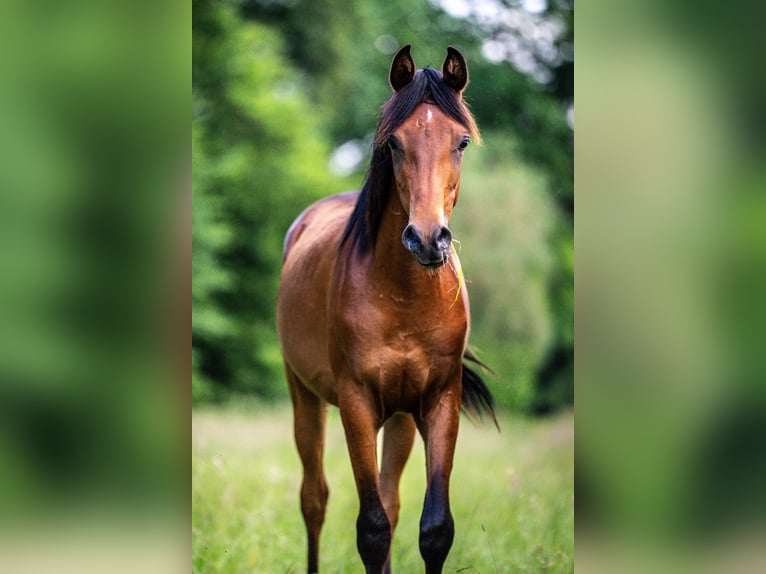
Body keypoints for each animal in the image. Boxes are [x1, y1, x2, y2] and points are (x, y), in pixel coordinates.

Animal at [276, 46, 498, 574]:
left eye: (461, 141)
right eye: (394, 143)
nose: (427, 238)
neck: (404, 296)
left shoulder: (438, 401)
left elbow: (433, 529)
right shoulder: (356, 402)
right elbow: (372, 529)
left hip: (398, 417)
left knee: (392, 500)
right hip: (305, 396)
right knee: (314, 499)